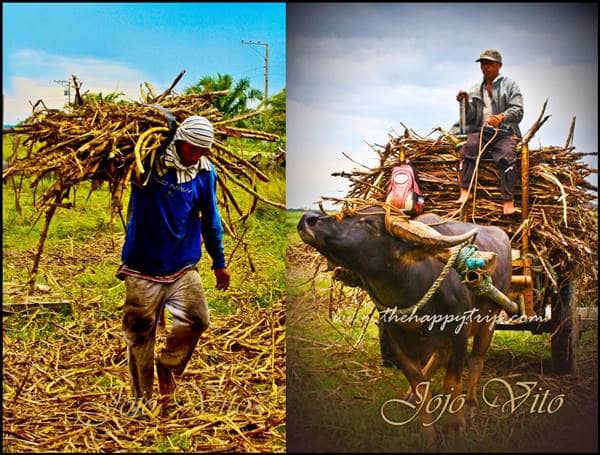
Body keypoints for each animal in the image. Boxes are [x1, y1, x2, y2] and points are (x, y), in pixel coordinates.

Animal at [298, 206, 512, 446]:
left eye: (368, 223)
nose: (308, 219)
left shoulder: (459, 336)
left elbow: (452, 381)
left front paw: (456, 426)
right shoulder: (397, 342)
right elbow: (420, 386)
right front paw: (428, 435)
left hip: (489, 320)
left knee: (477, 360)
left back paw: (471, 404)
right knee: (439, 357)